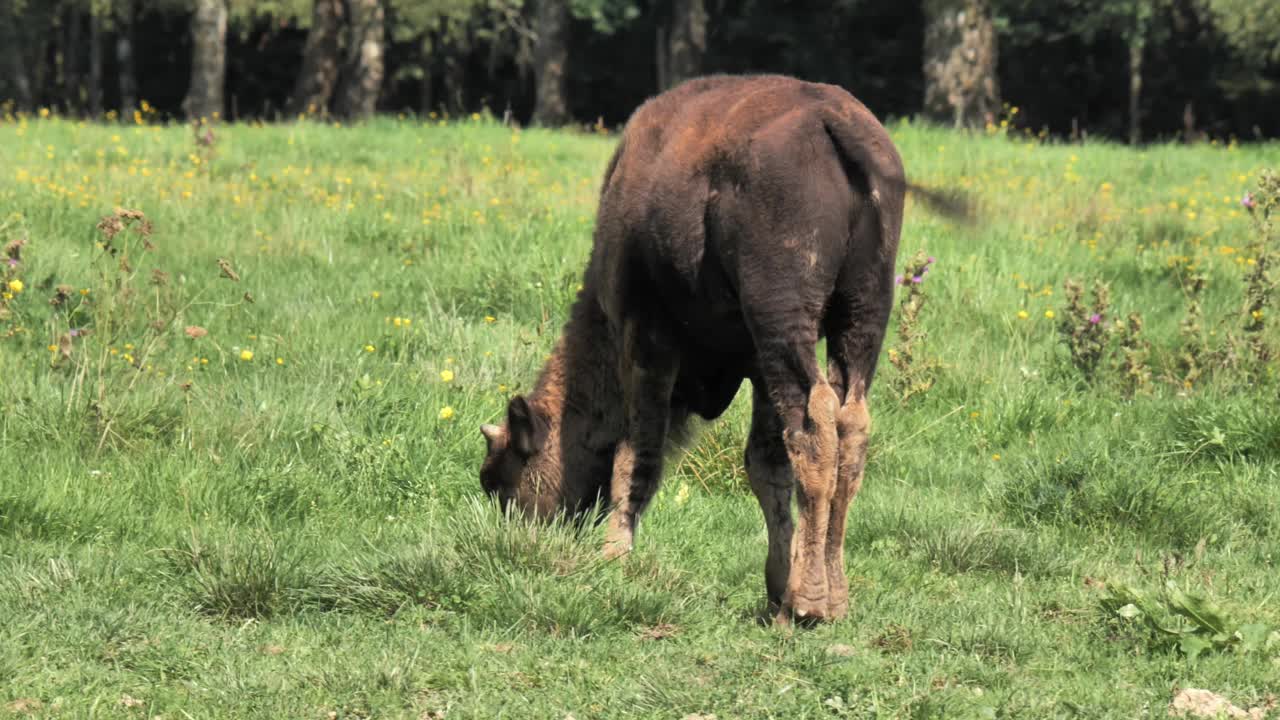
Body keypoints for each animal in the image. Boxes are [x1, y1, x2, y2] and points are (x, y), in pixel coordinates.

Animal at [481, 74, 921, 622]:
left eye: (501, 479)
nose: (519, 540)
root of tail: (833, 123)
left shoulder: (647, 339)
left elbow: (638, 453)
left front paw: (613, 558)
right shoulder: (757, 369)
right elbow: (766, 467)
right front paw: (776, 586)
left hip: (784, 318)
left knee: (813, 424)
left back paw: (808, 604)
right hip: (862, 315)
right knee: (849, 426)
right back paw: (829, 600)